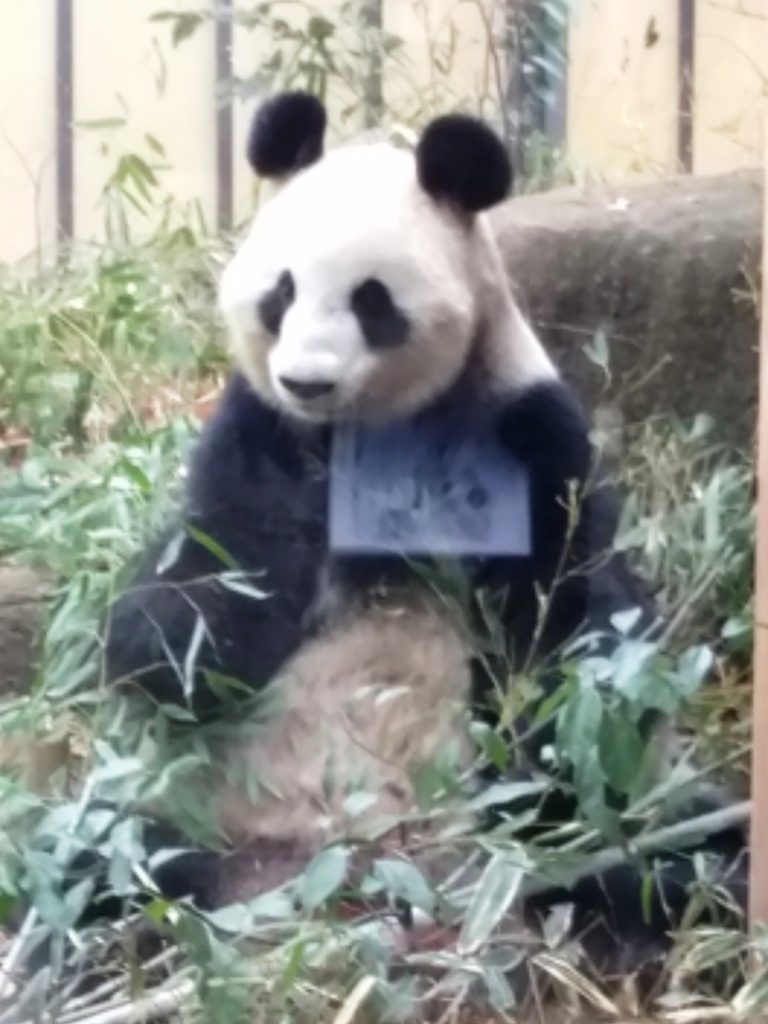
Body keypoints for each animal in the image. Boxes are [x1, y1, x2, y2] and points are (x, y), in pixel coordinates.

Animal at [99, 92, 749, 970]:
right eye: (281, 292)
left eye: (371, 300)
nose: (307, 382)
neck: (373, 435)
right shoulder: (255, 434)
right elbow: (188, 608)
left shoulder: (522, 433)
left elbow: (572, 623)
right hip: (204, 821)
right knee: (119, 860)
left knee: (677, 854)